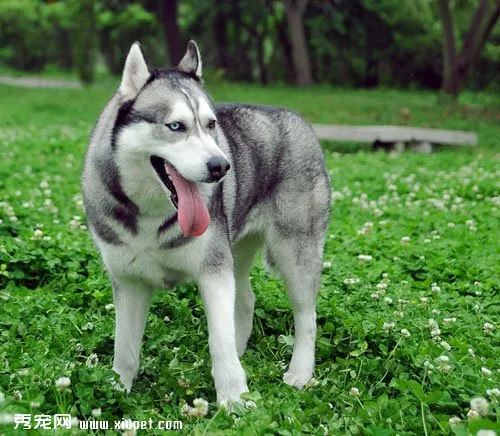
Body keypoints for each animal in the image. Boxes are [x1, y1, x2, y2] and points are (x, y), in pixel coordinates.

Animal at [82, 41, 332, 406]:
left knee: (306, 315)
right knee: (246, 300)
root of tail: (298, 118)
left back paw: (300, 372)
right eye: (176, 126)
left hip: (295, 253)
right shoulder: (129, 281)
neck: (151, 214)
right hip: (236, 251)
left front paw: (235, 400)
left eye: (211, 124)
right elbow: (124, 346)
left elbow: (219, 339)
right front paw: (117, 390)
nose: (221, 166)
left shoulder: (213, 272)